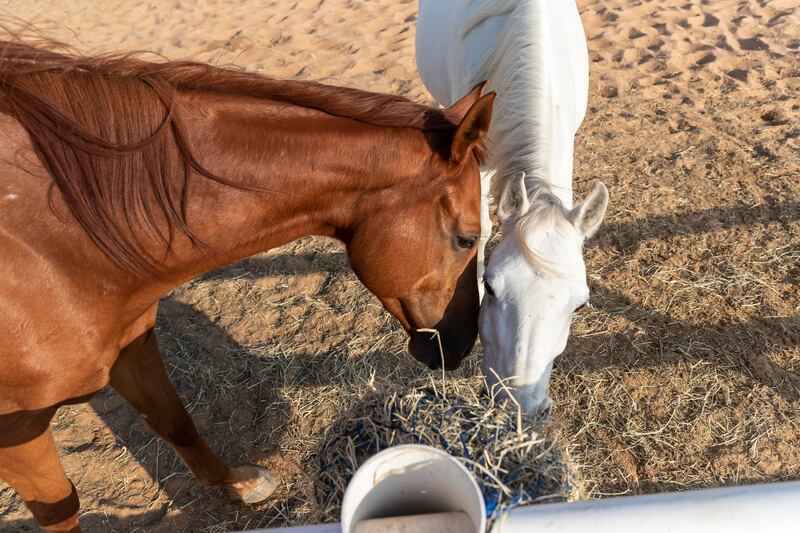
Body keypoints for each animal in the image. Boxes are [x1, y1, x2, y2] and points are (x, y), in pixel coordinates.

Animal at [0, 40, 494, 528]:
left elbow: (177, 422)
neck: (58, 249)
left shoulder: (131, 345)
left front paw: (241, 483)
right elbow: (61, 509)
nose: (463, 341)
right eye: (467, 239)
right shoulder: (19, 432)